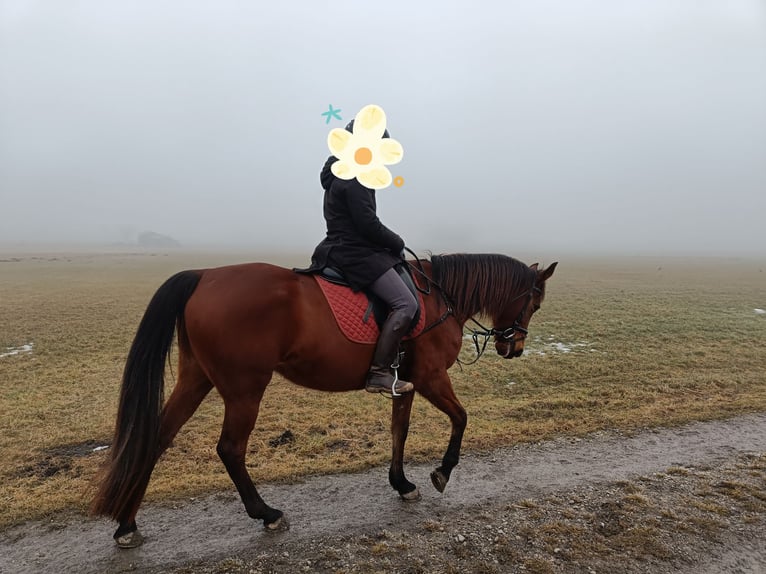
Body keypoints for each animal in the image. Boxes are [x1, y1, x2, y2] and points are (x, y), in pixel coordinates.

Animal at [90, 253, 557, 547]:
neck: (438, 297)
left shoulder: (404, 383)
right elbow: (461, 418)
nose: (513, 349)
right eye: (534, 302)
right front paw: (442, 473)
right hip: (244, 390)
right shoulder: (431, 379)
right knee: (230, 449)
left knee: (156, 439)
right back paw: (267, 513)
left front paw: (402, 483)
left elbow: (399, 430)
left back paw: (127, 524)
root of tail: (205, 275)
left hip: (197, 378)